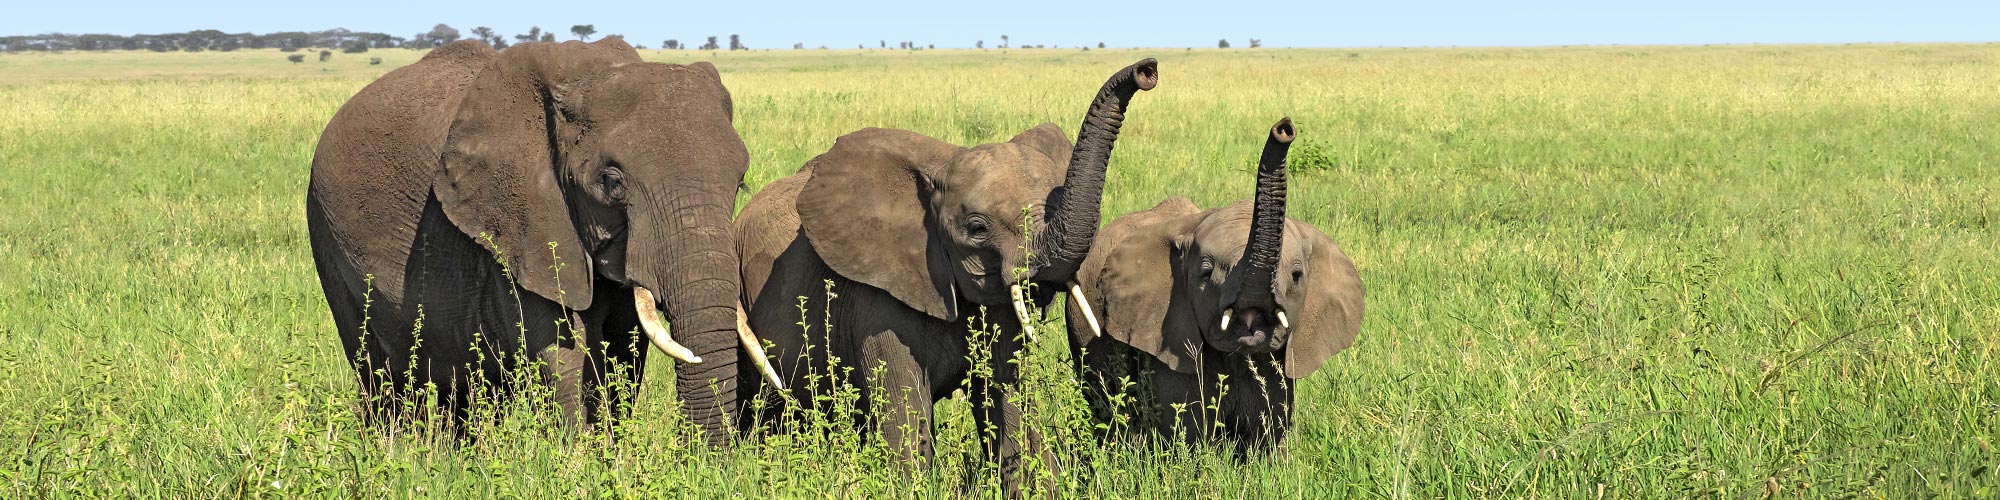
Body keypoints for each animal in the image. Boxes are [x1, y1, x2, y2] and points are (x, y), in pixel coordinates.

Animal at [306, 39, 772, 446]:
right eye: (612, 183)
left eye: (740, 184)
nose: (705, 460)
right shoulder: (519, 225)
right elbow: (562, 348)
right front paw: (582, 463)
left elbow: (626, 347)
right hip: (327, 238)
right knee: (377, 371)